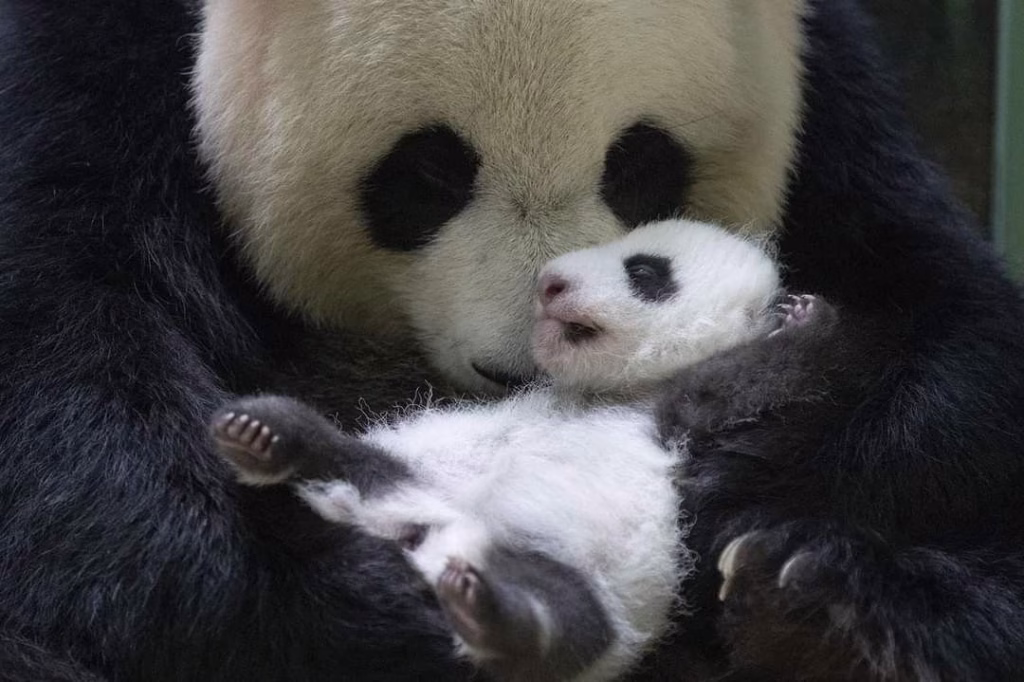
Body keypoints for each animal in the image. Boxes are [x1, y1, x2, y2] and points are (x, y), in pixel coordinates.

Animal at [207, 219, 782, 682]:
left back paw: (490, 615)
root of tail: (426, 527)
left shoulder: (681, 409)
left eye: (643, 271)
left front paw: (793, 325)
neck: (613, 392)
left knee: (566, 621)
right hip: (412, 472)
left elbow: (747, 384)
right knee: (352, 458)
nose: (549, 282)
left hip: (571, 569)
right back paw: (269, 436)